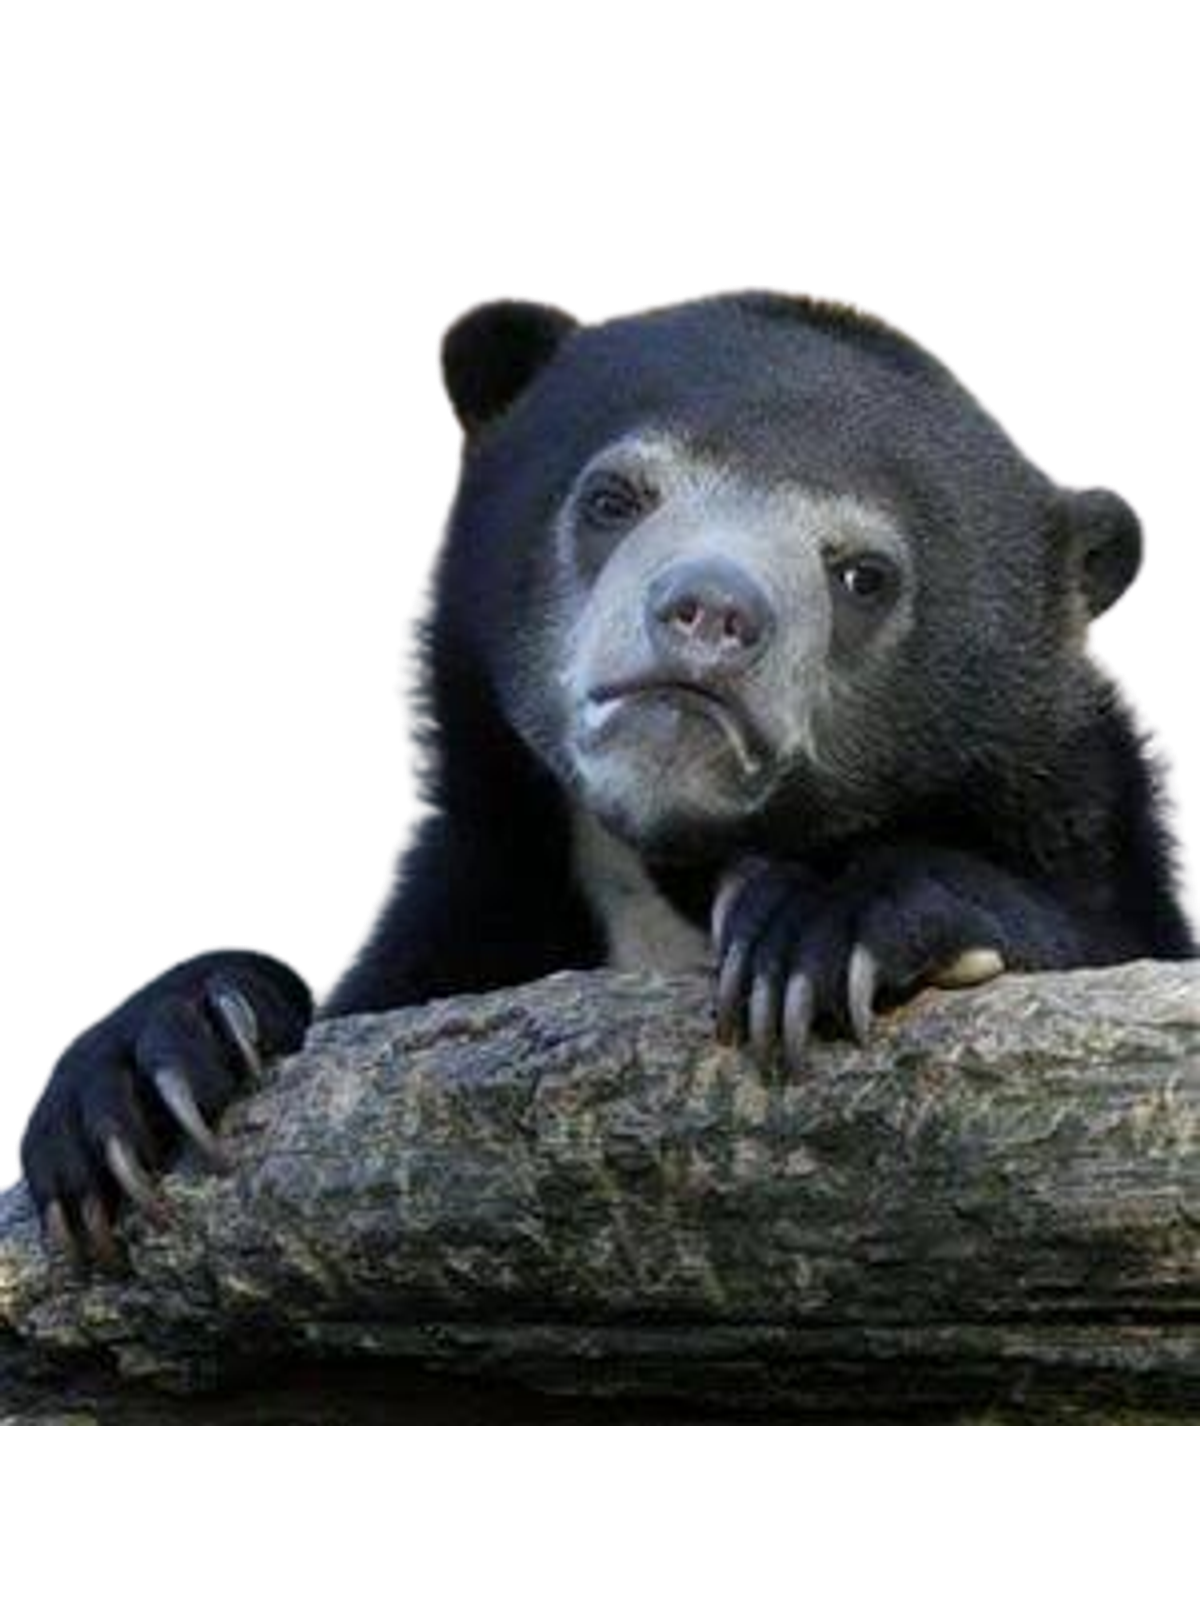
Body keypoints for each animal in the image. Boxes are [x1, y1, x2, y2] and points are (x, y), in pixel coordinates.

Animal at [17, 287, 1198, 1264]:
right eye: (613, 498)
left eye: (864, 574)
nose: (710, 613)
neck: (672, 861)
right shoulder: (481, 878)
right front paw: (143, 1075)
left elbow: (1106, 936)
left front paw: (820, 928)